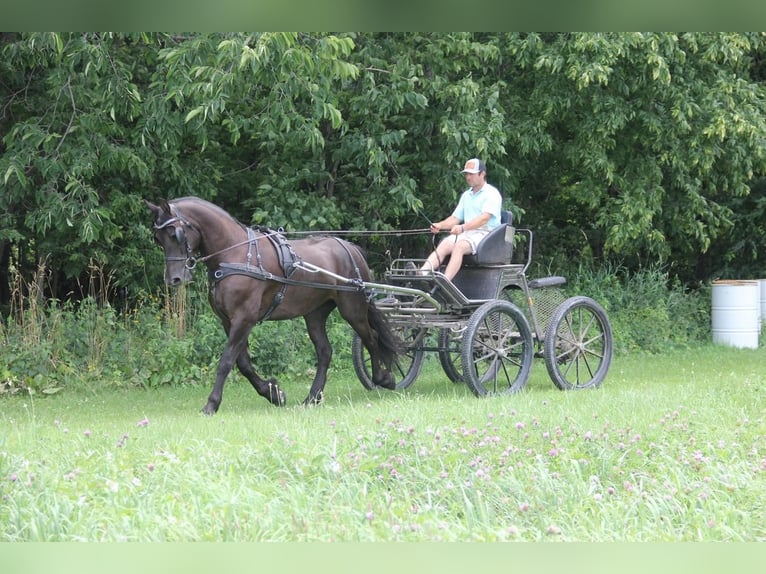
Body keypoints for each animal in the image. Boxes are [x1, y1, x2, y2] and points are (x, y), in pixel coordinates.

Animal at [147, 198, 404, 414]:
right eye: (158, 239)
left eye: (175, 234)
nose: (174, 279)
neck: (235, 253)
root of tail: (349, 247)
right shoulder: (229, 321)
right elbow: (243, 363)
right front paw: (273, 393)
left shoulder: (244, 318)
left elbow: (226, 361)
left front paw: (212, 404)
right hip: (315, 314)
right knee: (325, 351)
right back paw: (312, 397)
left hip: (352, 308)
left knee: (370, 337)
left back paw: (383, 377)